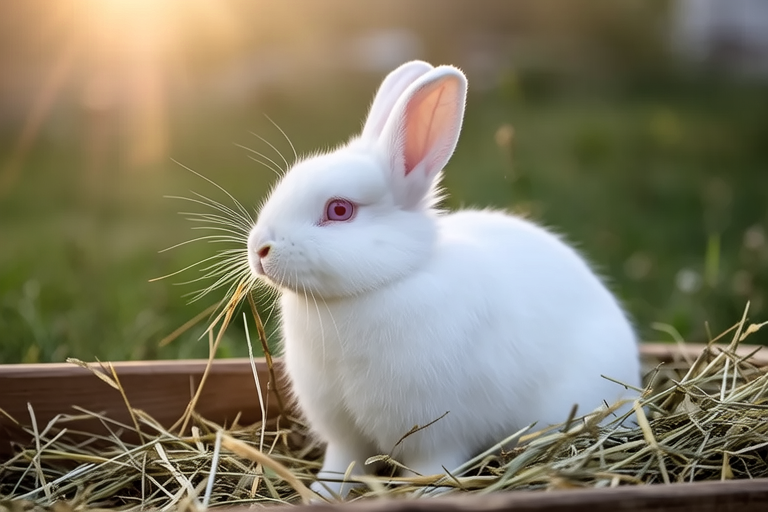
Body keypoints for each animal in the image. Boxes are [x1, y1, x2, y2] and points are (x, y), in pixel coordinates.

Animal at [246, 60, 641, 498]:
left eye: (339, 210)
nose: (260, 249)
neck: (381, 284)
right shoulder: (343, 430)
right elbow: (342, 464)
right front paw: (321, 494)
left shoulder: (437, 432)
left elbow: (432, 466)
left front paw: (424, 494)